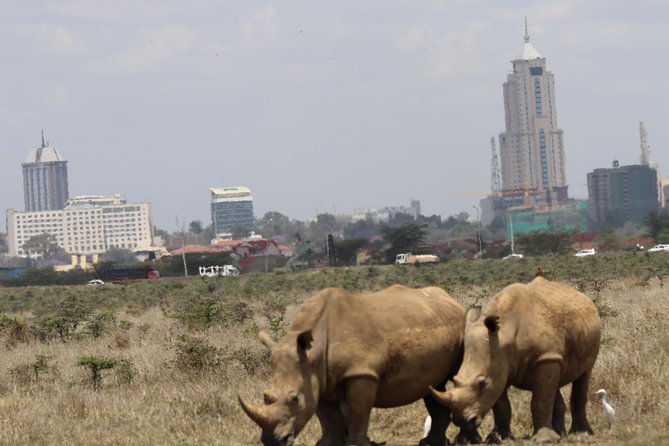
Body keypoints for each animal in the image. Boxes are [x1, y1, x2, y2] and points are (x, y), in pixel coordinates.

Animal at [238, 284, 478, 446]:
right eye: (266, 396)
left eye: (294, 399)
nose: (272, 441)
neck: (314, 353)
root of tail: (450, 299)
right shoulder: (319, 379)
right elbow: (328, 417)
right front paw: (327, 445)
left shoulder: (361, 373)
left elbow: (358, 412)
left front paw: (356, 444)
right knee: (433, 386)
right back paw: (431, 443)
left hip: (463, 328)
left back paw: (467, 440)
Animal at [430, 277, 601, 443]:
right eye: (454, 380)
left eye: (482, 383)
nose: (462, 421)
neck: (506, 333)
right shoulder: (500, 364)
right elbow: (502, 405)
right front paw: (499, 438)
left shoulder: (543, 357)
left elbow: (540, 401)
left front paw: (544, 440)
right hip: (557, 348)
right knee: (554, 381)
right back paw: (560, 435)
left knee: (584, 375)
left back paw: (581, 433)